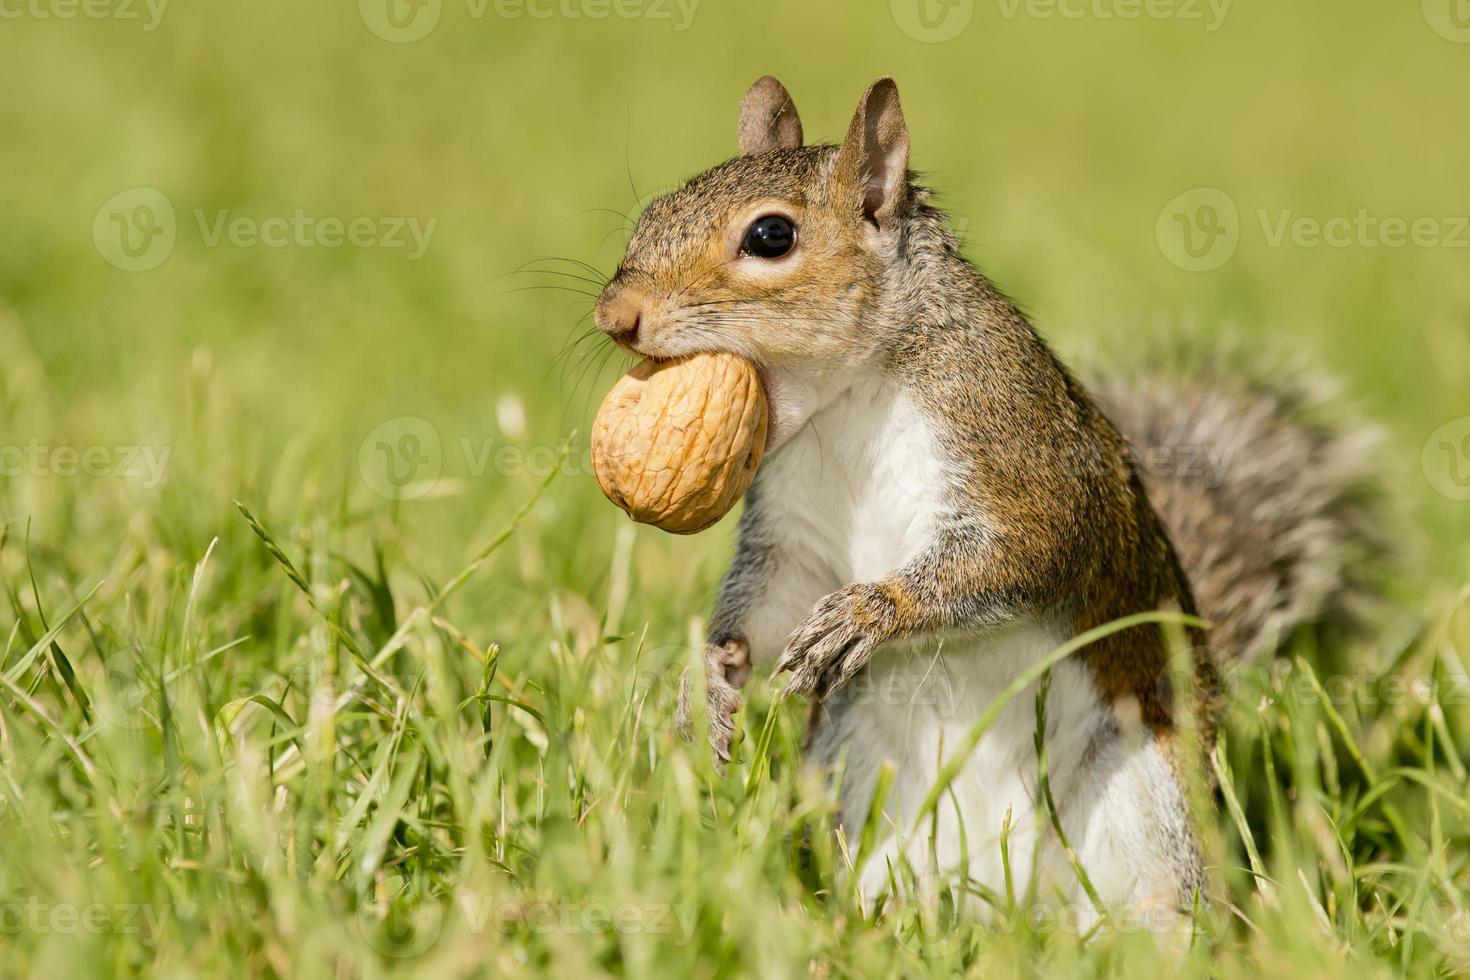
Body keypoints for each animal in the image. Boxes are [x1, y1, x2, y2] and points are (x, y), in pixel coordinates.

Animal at [590, 74, 1370, 922]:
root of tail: (1016, 903)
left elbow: (1024, 551)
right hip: (863, 775)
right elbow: (767, 605)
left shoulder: (1015, 445)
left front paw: (871, 612)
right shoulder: (791, 533)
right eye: (651, 212)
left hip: (1146, 792)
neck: (847, 397)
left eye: (771, 236)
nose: (613, 317)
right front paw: (707, 679)